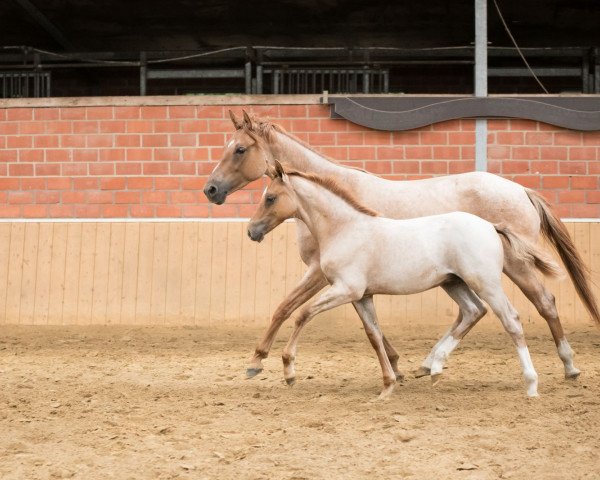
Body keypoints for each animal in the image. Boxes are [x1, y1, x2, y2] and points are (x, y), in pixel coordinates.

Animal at [204, 111, 596, 382]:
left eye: (239, 149)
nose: (211, 190)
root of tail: (520, 189)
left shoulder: (320, 273)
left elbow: (284, 308)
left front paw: (256, 361)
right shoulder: (346, 281)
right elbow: (369, 325)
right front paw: (395, 365)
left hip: (513, 266)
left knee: (543, 302)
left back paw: (569, 365)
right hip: (457, 277)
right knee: (472, 312)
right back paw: (430, 363)